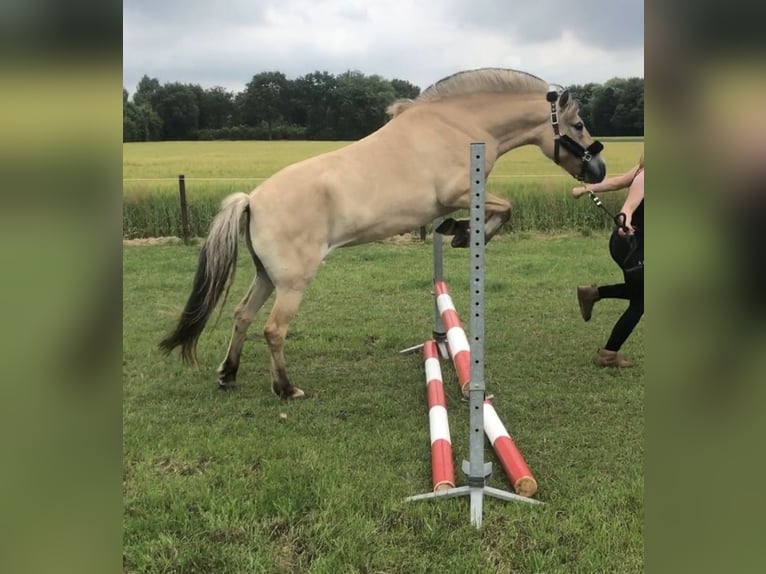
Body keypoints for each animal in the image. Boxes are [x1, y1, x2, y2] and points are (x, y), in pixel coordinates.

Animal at [159, 68, 608, 400]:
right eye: (578, 125)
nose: (598, 170)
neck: (457, 124)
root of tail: (252, 199)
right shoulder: (459, 193)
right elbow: (505, 208)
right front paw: (464, 232)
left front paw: (456, 230)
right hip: (292, 282)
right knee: (272, 330)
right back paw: (286, 389)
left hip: (267, 276)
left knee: (242, 316)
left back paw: (228, 375)